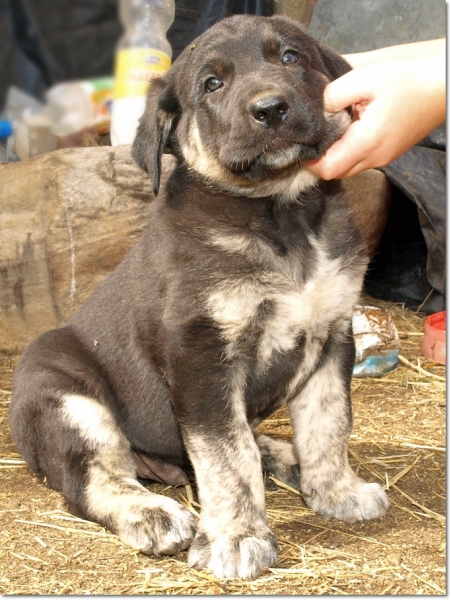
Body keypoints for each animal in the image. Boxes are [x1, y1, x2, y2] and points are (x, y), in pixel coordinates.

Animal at [10, 15, 392, 580]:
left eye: (290, 57)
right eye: (212, 84)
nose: (270, 108)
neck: (281, 215)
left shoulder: (331, 337)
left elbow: (328, 424)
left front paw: (336, 491)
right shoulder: (203, 354)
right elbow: (226, 456)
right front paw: (236, 537)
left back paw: (282, 456)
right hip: (68, 400)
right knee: (93, 480)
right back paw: (151, 512)